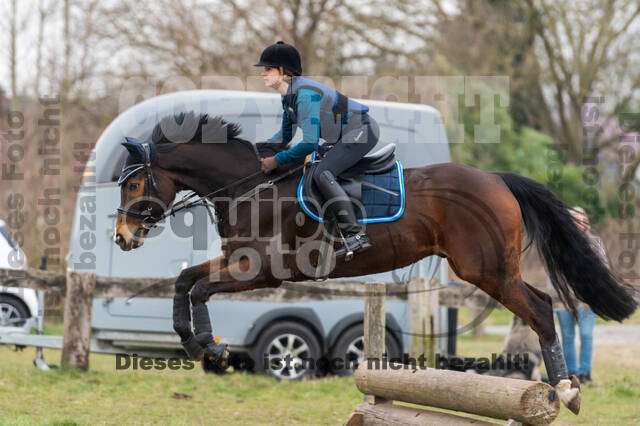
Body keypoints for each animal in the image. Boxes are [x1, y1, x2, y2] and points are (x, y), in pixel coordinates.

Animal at [114, 111, 636, 414]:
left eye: (135, 184)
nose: (121, 238)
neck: (250, 186)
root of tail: (496, 178)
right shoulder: (234, 261)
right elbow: (184, 281)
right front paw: (192, 341)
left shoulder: (260, 270)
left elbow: (200, 287)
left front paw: (210, 347)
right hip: (492, 271)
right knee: (542, 303)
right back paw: (562, 387)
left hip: (486, 270)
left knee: (542, 310)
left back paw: (564, 391)